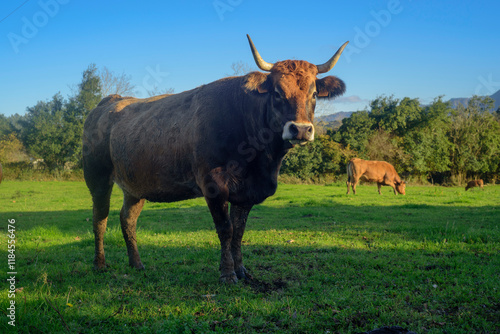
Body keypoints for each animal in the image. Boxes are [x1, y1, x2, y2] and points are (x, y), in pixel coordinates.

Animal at [82, 35, 348, 284]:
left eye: (314, 94)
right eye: (277, 93)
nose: (301, 129)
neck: (260, 161)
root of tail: (109, 101)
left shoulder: (246, 192)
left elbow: (239, 231)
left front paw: (242, 271)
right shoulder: (213, 183)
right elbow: (225, 229)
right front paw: (228, 274)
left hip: (135, 185)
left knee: (127, 218)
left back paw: (136, 263)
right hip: (97, 177)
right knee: (99, 218)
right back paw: (99, 264)